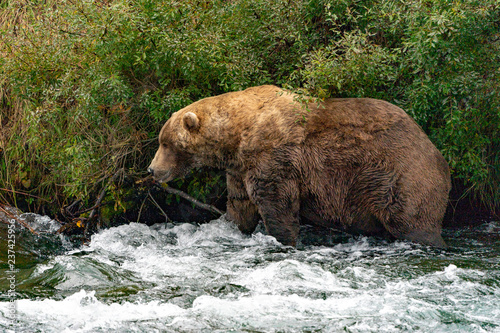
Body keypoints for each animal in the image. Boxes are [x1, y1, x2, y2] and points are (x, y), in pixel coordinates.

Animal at [146, 85, 452, 246]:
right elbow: (240, 204)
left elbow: (277, 203)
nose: (151, 169)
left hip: (399, 173)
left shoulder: (274, 156)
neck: (237, 136)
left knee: (413, 220)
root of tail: (436, 151)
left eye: (165, 143)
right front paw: (234, 225)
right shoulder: (238, 168)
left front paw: (284, 239)